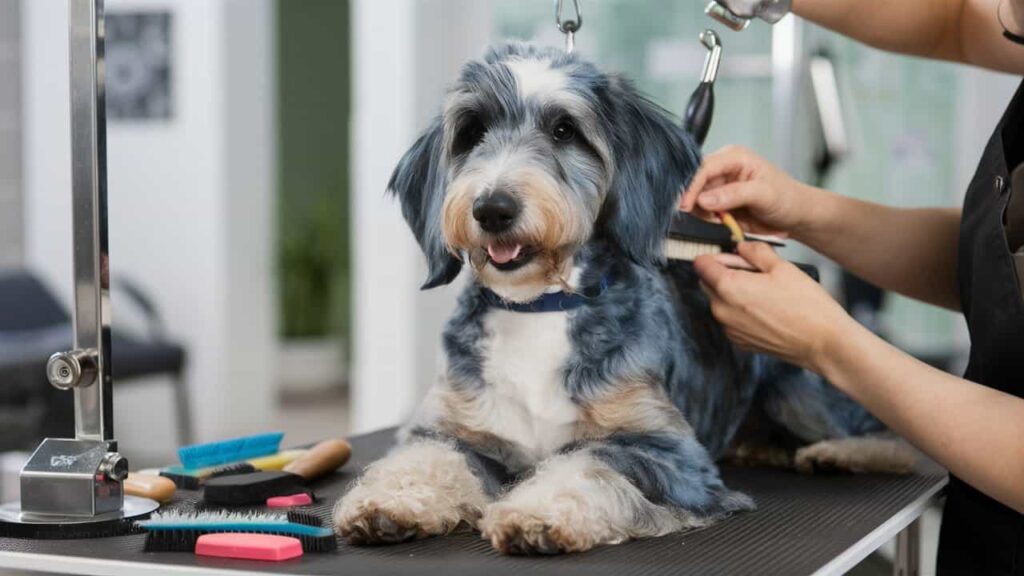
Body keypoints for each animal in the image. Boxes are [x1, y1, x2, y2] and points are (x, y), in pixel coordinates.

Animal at [333, 42, 913, 553]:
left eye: (564, 130)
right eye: (471, 132)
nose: (493, 208)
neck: (542, 307)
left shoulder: (670, 453)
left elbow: (589, 462)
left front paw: (537, 513)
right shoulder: (448, 429)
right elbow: (425, 458)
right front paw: (389, 502)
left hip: (802, 391)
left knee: (887, 434)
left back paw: (840, 453)